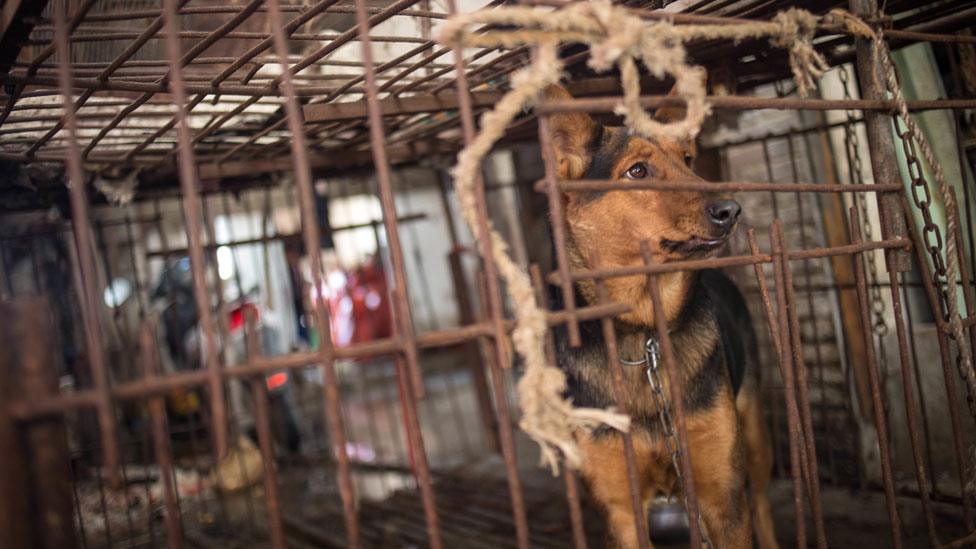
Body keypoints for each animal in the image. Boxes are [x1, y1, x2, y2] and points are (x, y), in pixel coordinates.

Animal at [540, 85, 776, 548]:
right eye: (637, 171)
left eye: (687, 159)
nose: (731, 209)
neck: (642, 333)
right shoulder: (621, 511)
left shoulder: (722, 500)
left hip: (755, 436)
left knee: (762, 506)